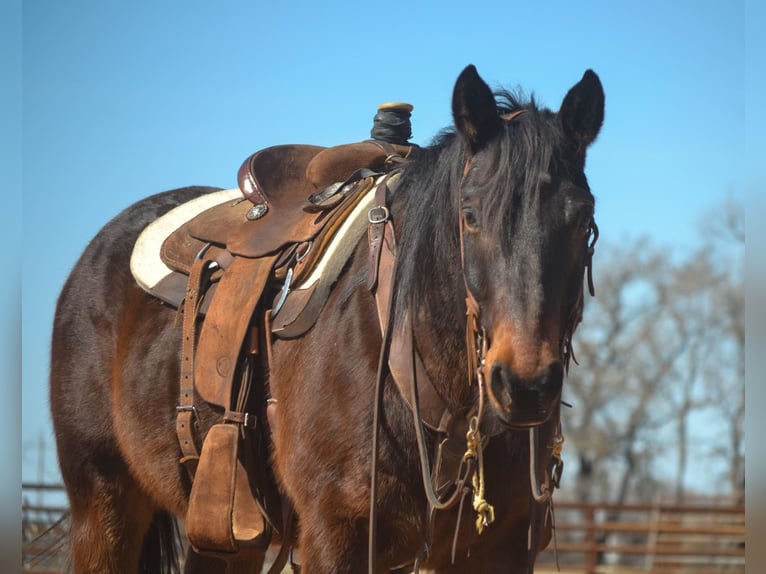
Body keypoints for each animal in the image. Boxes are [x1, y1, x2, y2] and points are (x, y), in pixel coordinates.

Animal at [51, 65, 608, 572]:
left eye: (583, 219)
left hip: (222, 533)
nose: (525, 384)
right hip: (104, 505)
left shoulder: (503, 548)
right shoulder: (335, 538)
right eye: (469, 216)